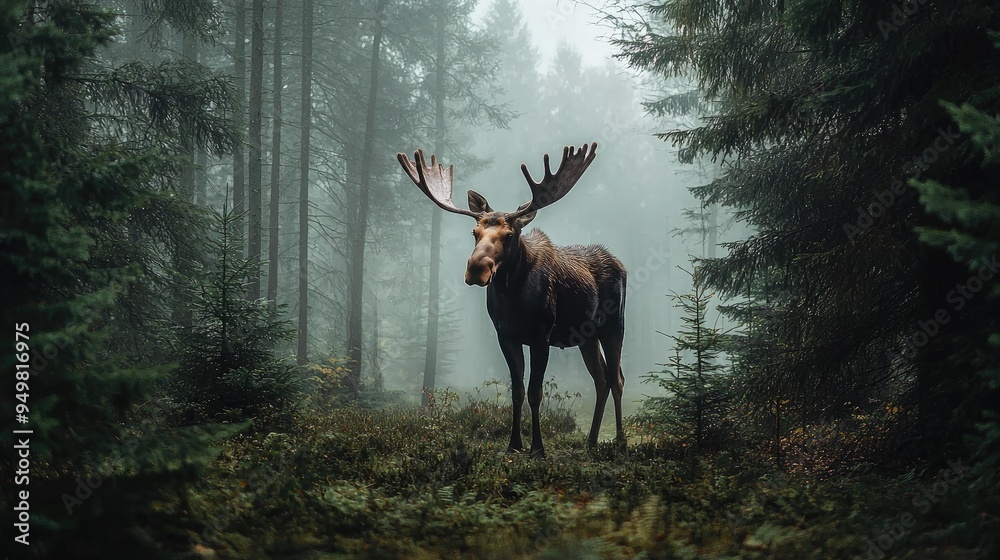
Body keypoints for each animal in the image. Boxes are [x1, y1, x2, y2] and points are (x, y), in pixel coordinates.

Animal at [396, 142, 626, 459]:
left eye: (508, 234)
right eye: (474, 232)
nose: (476, 268)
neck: (514, 300)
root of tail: (620, 263)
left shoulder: (542, 335)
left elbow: (535, 392)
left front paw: (538, 449)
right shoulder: (505, 336)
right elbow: (516, 391)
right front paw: (513, 445)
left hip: (614, 325)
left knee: (617, 379)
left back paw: (620, 442)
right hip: (586, 336)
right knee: (601, 379)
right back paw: (591, 441)